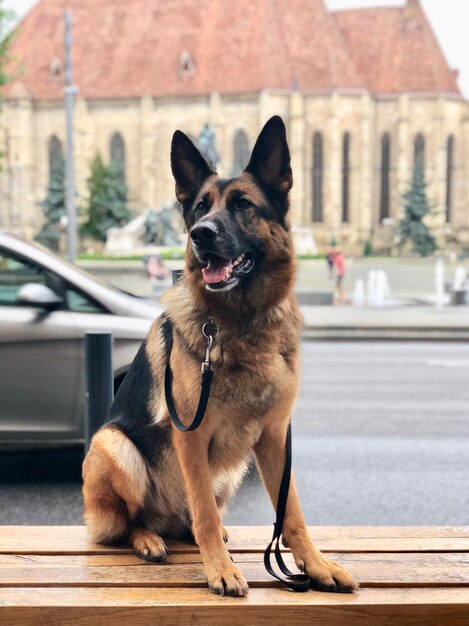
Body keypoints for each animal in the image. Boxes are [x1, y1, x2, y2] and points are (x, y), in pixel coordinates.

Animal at [82, 116, 356, 596]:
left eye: (244, 204)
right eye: (199, 208)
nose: (201, 234)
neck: (241, 325)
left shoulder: (274, 437)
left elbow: (292, 512)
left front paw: (316, 564)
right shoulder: (190, 437)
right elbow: (205, 514)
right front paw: (220, 569)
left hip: (231, 471)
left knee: (188, 519)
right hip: (115, 445)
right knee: (127, 523)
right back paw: (148, 538)